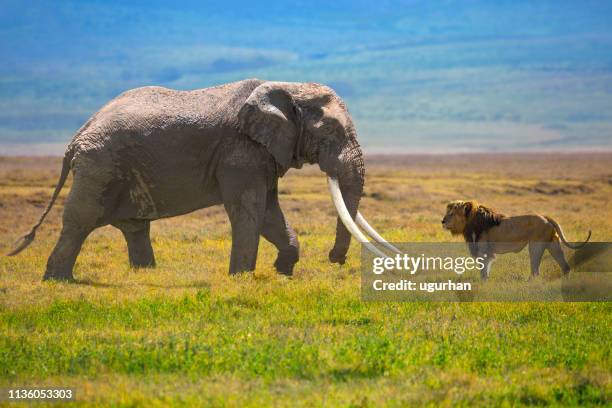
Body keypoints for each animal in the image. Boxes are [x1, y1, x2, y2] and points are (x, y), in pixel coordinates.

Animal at [10, 79, 402, 280]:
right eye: (332, 130)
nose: (335, 260)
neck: (286, 86)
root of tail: (77, 137)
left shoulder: (261, 153)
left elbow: (270, 211)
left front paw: (282, 271)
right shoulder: (240, 152)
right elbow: (250, 210)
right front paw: (241, 278)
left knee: (134, 226)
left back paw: (147, 275)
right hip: (99, 166)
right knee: (81, 220)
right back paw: (57, 280)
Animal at [442, 201, 592, 280]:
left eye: (452, 214)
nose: (442, 221)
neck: (470, 222)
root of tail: (546, 217)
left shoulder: (483, 250)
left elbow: (484, 267)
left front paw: (483, 281)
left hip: (535, 245)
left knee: (536, 270)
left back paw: (530, 281)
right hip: (552, 243)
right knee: (565, 265)